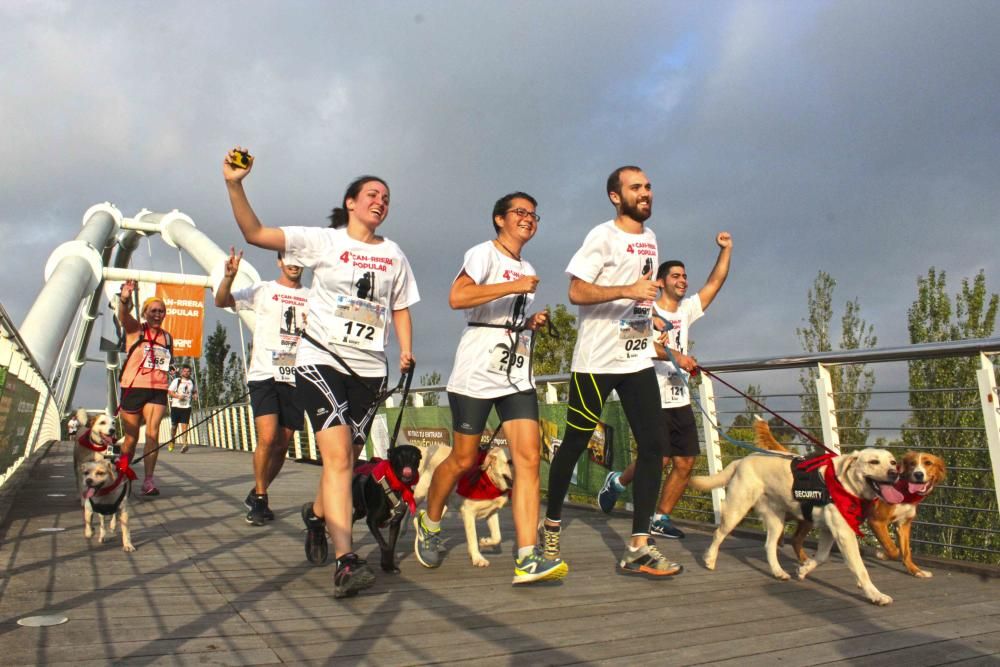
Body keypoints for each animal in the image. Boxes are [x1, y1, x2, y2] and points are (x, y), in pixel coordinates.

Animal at [352, 444, 422, 576]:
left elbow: (391, 546)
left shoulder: (395, 524)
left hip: (361, 510)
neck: (397, 487)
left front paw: (389, 566)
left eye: (415, 456)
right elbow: (384, 545)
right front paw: (385, 565)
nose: (408, 469)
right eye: (399, 456)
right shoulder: (372, 521)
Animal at [692, 440, 904, 608]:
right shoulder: (843, 532)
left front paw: (803, 569)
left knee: (769, 545)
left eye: (893, 462)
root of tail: (742, 460)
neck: (846, 484)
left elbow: (822, 557)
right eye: (873, 462)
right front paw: (875, 595)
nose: (894, 473)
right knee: (719, 534)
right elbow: (860, 568)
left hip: (776, 520)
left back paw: (778, 572)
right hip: (737, 508)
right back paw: (710, 559)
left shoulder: (829, 531)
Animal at [752, 422, 948, 580]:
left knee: (795, 539)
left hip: (807, 516)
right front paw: (882, 554)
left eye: (928, 463)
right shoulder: (876, 521)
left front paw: (916, 570)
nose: (918, 474)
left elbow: (906, 551)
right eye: (912, 464)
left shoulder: (904, 524)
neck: (903, 490)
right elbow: (893, 549)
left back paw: (803, 561)